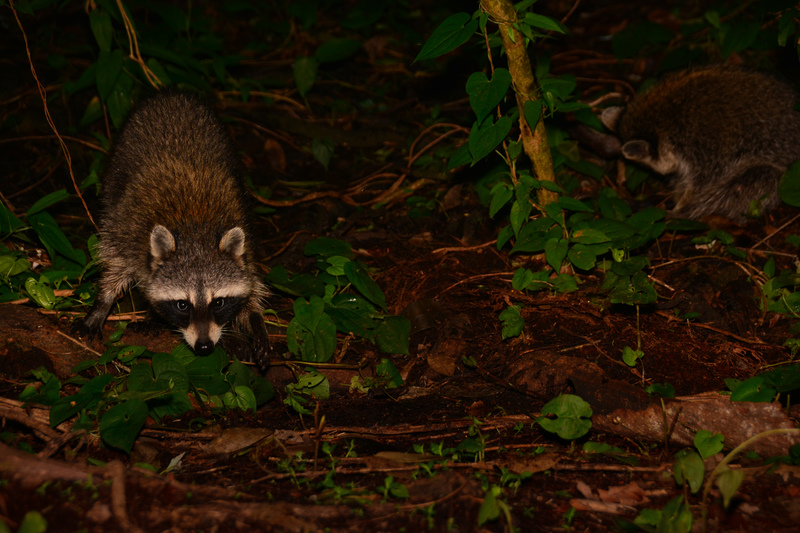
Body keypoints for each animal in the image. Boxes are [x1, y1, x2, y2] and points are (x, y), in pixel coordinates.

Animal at [73, 88, 270, 370]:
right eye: (182, 305)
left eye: (219, 302)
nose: (205, 346)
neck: (195, 233)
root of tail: (172, 93)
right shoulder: (128, 231)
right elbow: (114, 264)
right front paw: (103, 302)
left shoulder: (245, 237)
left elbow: (251, 282)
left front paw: (254, 320)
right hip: (117, 168)